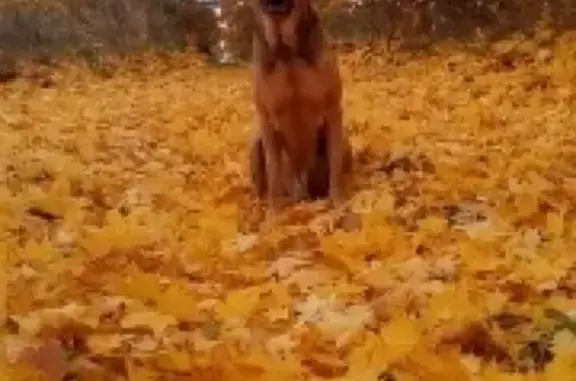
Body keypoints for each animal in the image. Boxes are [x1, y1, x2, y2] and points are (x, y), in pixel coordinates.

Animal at [248, 0, 352, 217]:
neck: (286, 52)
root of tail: (301, 192)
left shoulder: (332, 111)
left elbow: (335, 167)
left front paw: (340, 204)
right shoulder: (267, 120)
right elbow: (273, 172)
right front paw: (274, 215)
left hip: (345, 141)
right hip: (255, 145)